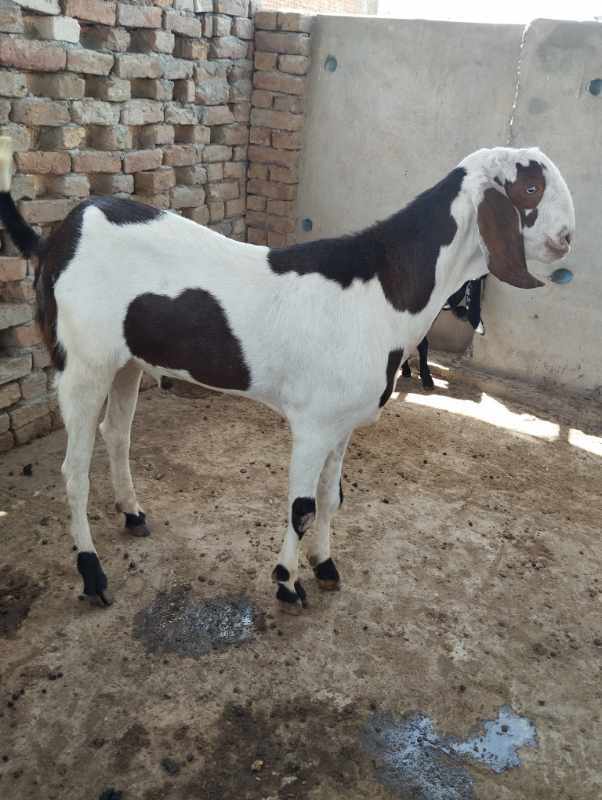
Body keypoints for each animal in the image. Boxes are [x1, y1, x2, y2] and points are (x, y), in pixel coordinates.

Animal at [0, 139, 575, 613]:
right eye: (530, 187)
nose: (567, 239)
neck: (383, 286)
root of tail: (58, 237)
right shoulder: (314, 424)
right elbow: (301, 506)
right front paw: (287, 584)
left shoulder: (342, 422)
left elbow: (331, 497)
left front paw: (324, 566)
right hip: (82, 360)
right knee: (74, 470)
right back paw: (92, 574)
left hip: (125, 361)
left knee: (116, 434)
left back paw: (132, 514)